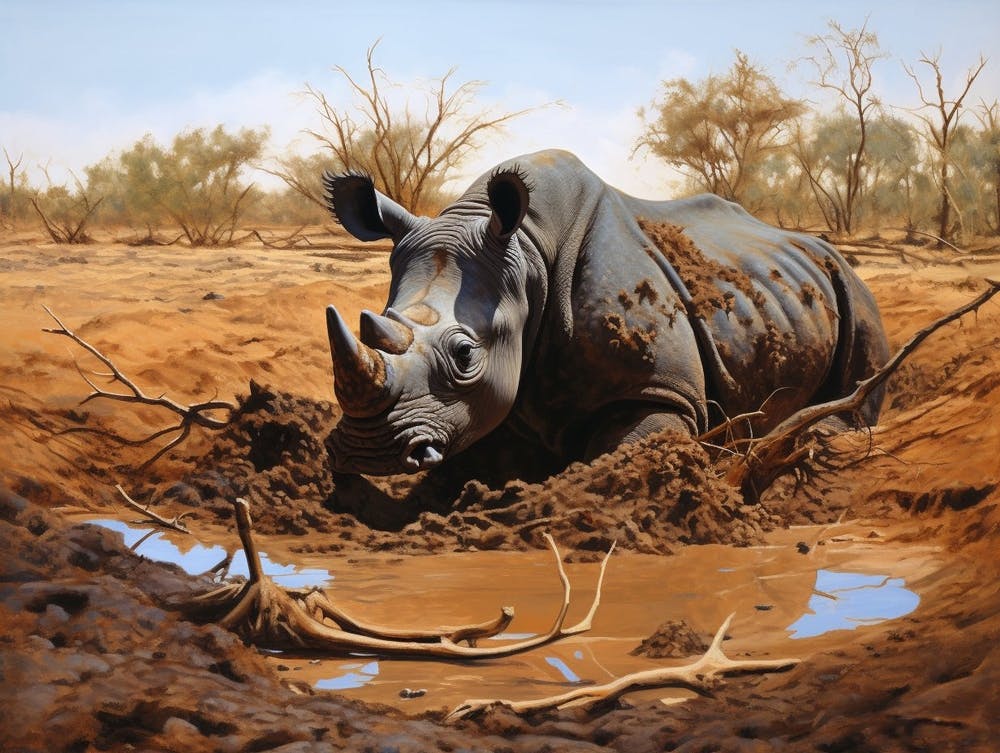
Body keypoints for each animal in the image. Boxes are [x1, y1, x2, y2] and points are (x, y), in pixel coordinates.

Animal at [322, 149, 889, 476]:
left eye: (464, 354)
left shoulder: (660, 389)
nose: (368, 453)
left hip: (852, 285)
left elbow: (618, 452)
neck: (528, 254)